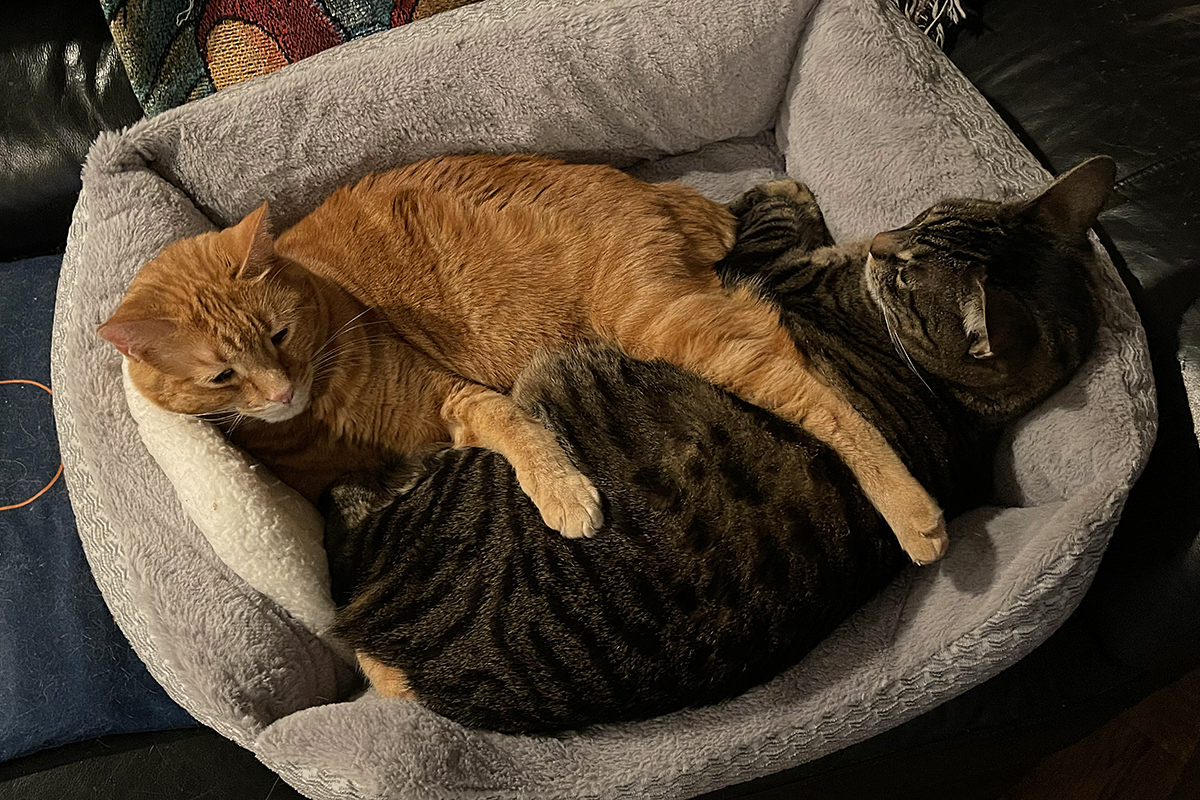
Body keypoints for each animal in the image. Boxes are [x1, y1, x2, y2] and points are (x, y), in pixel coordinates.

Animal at [100, 154, 945, 563]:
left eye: (278, 336)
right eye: (222, 376)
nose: (278, 391)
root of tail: (643, 190)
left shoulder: (458, 397)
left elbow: (522, 433)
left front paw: (565, 495)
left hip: (660, 324)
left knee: (815, 391)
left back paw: (912, 513)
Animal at [321, 154, 1113, 734]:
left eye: (908, 267)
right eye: (922, 218)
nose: (888, 241)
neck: (953, 399)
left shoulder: (767, 271)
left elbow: (779, 215)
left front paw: (788, 196)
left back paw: (917, 521)